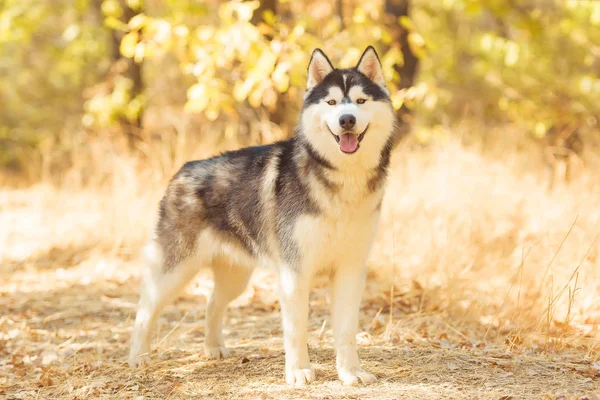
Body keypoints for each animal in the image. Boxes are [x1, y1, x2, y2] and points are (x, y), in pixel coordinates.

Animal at [127, 46, 398, 384]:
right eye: (332, 102)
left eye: (361, 101)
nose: (346, 120)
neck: (342, 179)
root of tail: (183, 170)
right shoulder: (295, 273)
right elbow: (296, 331)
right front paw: (298, 372)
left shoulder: (350, 269)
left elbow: (347, 331)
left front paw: (351, 373)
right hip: (174, 271)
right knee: (145, 308)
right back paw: (139, 357)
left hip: (235, 277)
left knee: (212, 304)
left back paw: (213, 347)